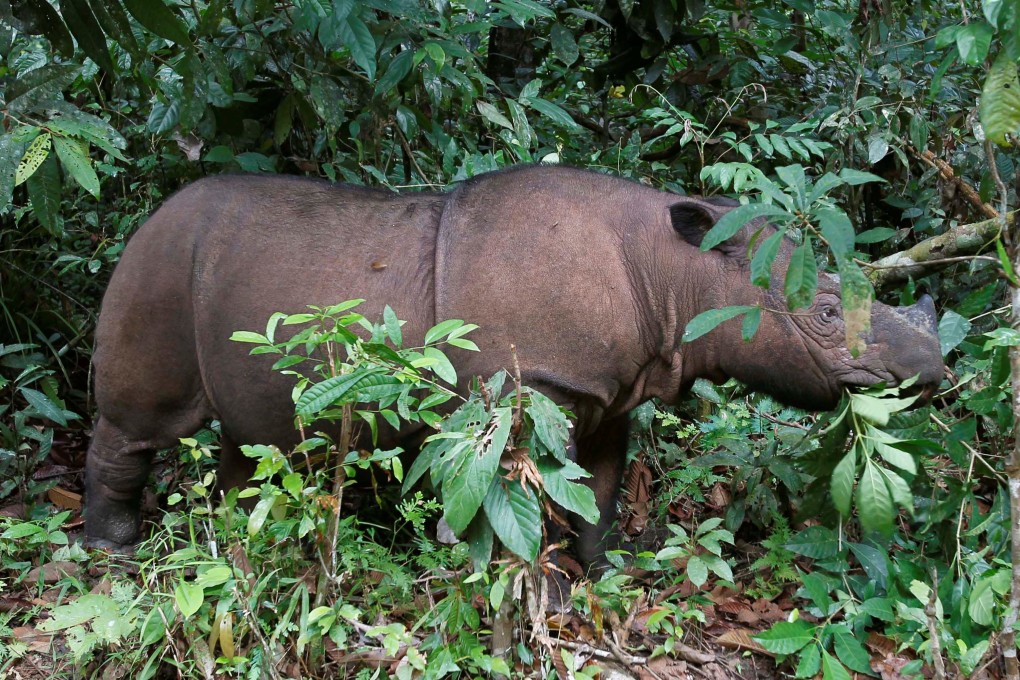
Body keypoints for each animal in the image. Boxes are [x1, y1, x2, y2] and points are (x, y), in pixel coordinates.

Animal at [85, 165, 943, 561]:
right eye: (826, 315)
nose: (932, 370)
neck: (678, 274)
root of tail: (151, 216)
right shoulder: (531, 383)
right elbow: (510, 494)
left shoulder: (611, 387)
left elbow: (598, 488)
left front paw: (605, 571)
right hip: (158, 263)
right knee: (137, 423)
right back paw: (114, 551)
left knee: (253, 439)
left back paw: (239, 542)